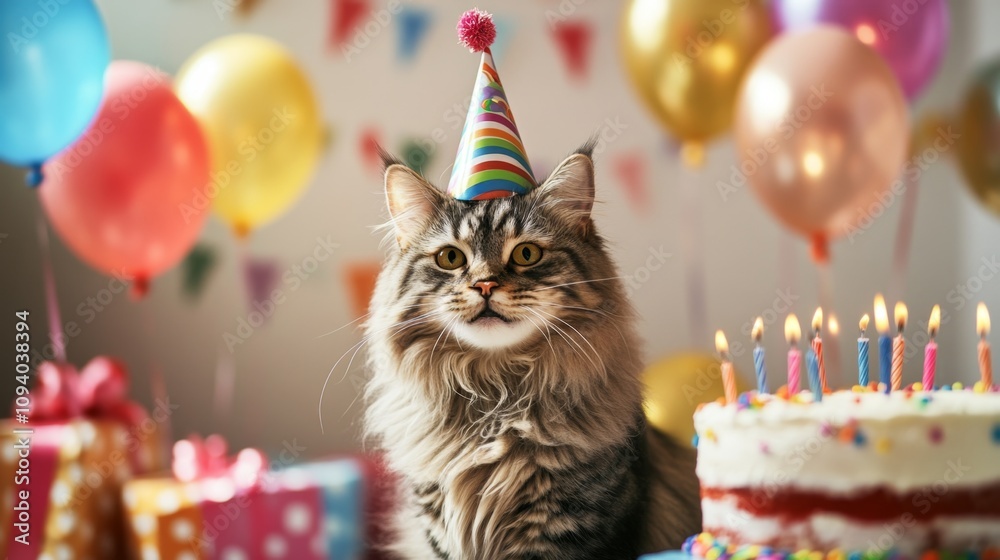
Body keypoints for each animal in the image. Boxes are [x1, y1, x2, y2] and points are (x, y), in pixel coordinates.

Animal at [363, 144, 701, 560]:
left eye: (526, 254)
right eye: (450, 258)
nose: (485, 285)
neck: (496, 397)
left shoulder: (569, 527)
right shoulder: (439, 530)